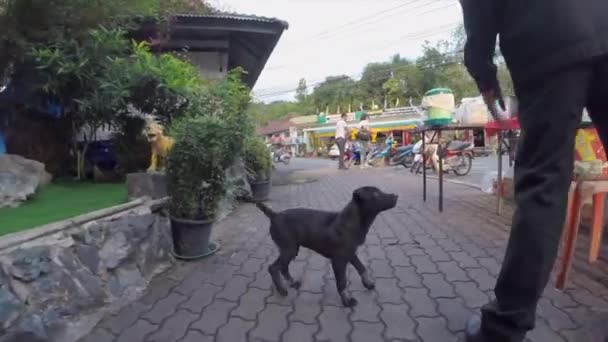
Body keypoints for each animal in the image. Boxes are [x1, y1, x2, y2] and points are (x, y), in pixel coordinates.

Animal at [255, 187, 400, 308]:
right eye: (376, 194)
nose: (396, 196)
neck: (350, 223)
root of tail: (274, 215)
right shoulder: (338, 260)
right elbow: (342, 281)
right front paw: (347, 300)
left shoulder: (350, 253)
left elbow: (362, 267)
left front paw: (368, 283)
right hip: (289, 249)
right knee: (273, 268)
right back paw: (281, 290)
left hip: (291, 249)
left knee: (283, 267)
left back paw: (292, 283)